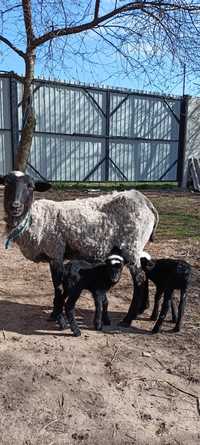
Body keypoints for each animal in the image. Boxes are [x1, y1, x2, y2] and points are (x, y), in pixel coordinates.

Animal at [0, 169, 159, 326]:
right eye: (6, 183)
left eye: (31, 186)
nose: (15, 206)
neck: (35, 218)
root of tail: (145, 202)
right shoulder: (53, 255)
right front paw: (55, 314)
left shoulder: (56, 252)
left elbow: (58, 287)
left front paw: (57, 316)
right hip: (136, 247)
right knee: (143, 275)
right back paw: (141, 309)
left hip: (131, 245)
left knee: (139, 280)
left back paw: (128, 319)